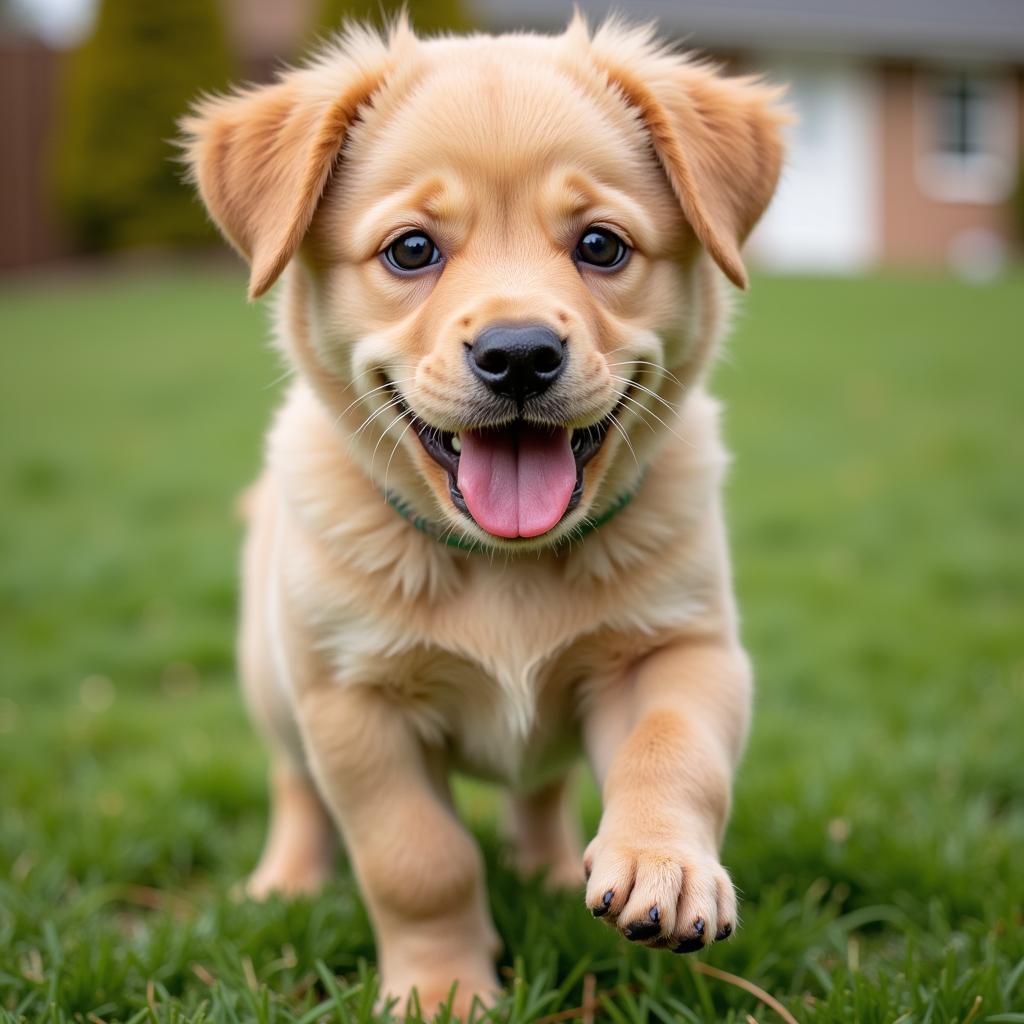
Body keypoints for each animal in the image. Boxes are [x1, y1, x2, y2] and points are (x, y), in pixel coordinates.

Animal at [182, 12, 782, 1019]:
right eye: (411, 251)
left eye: (602, 247)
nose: (520, 354)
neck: (507, 564)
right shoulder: (354, 704)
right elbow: (419, 862)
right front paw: (443, 990)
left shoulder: (679, 647)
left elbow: (672, 751)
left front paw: (662, 866)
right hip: (273, 678)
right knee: (294, 785)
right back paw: (287, 882)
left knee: (537, 791)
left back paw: (550, 870)